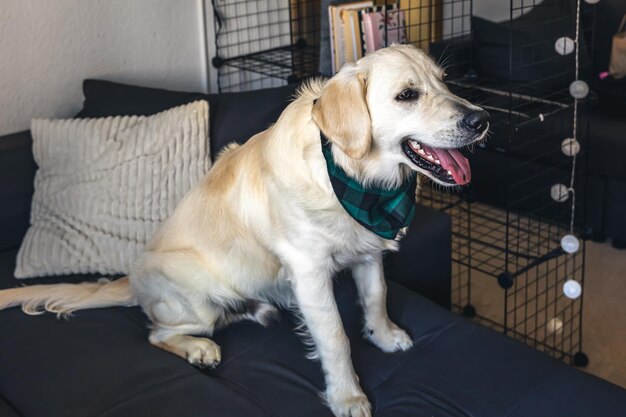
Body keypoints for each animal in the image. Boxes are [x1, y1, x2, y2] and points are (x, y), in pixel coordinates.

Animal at [0, 45, 488, 416]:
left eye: (445, 81)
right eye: (407, 94)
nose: (481, 120)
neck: (351, 175)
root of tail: (131, 280)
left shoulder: (366, 251)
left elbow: (375, 297)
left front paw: (384, 336)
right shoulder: (309, 273)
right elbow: (335, 338)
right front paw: (347, 396)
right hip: (195, 304)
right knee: (157, 333)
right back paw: (198, 348)